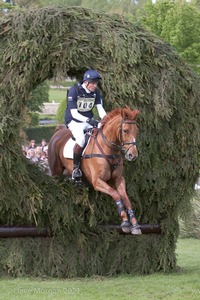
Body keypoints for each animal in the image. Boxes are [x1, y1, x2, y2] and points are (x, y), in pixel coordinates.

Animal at [48, 106, 141, 236]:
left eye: (136, 131)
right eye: (125, 130)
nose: (133, 155)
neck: (109, 150)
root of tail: (58, 132)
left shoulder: (118, 179)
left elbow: (126, 198)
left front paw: (135, 224)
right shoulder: (97, 182)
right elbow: (116, 194)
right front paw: (125, 222)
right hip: (56, 173)